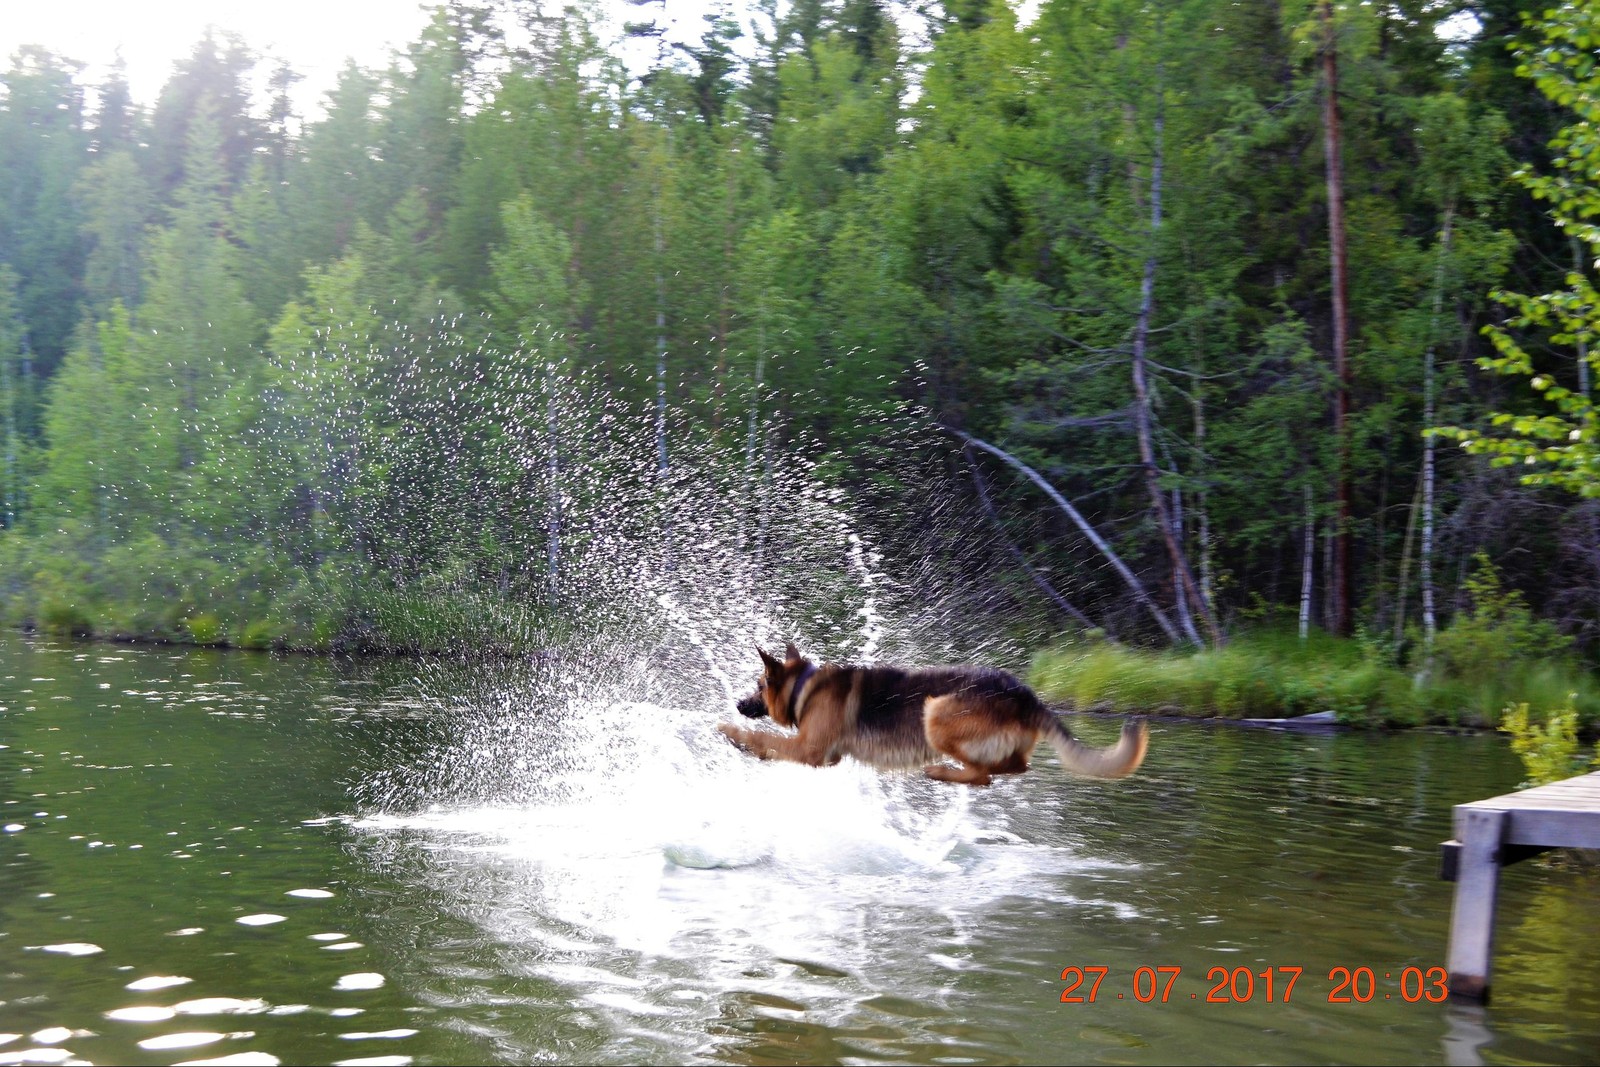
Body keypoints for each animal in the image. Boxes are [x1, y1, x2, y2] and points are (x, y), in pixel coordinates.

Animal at [716, 643, 1152, 783]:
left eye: (758, 686)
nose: (738, 704)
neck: (804, 686)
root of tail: (1026, 695)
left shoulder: (811, 749)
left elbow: (765, 736)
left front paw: (732, 733)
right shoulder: (821, 754)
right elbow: (770, 742)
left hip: (936, 713)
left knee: (982, 776)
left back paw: (940, 771)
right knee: (1011, 768)